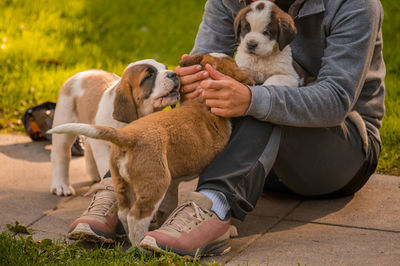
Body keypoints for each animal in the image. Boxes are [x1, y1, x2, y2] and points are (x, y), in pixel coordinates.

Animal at [50, 60, 180, 197]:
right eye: (149, 76)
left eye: (165, 68)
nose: (174, 74)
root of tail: (81, 73)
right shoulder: (102, 143)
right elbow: (106, 165)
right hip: (64, 122)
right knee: (60, 154)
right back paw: (61, 185)